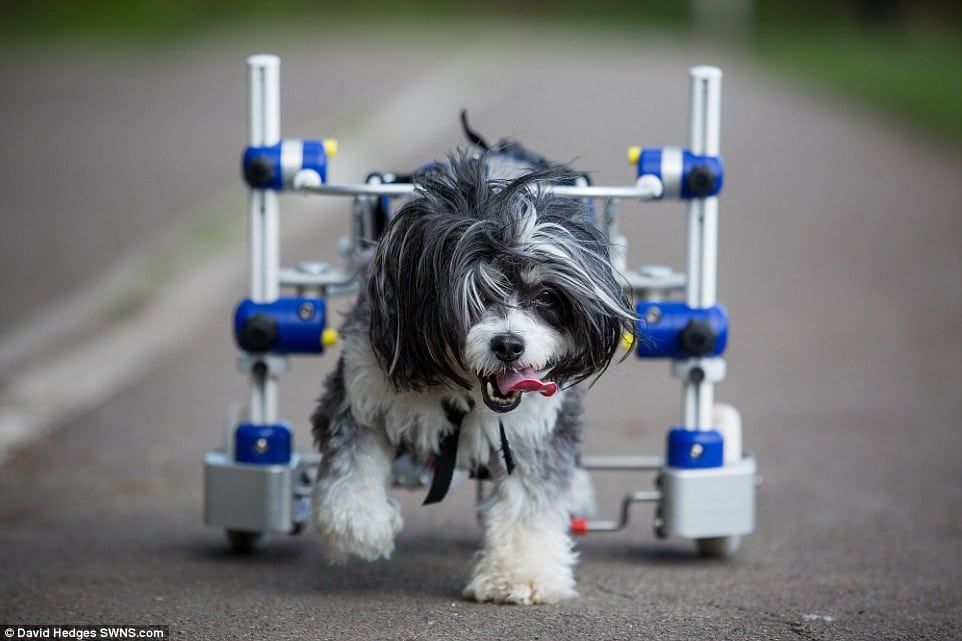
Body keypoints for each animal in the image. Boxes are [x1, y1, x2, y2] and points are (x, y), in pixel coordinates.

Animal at [312, 132, 632, 604]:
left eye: (546, 296)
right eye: (475, 295)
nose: (509, 345)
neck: (462, 392)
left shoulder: (538, 424)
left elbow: (530, 502)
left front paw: (522, 574)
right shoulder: (363, 381)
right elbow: (352, 459)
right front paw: (360, 527)